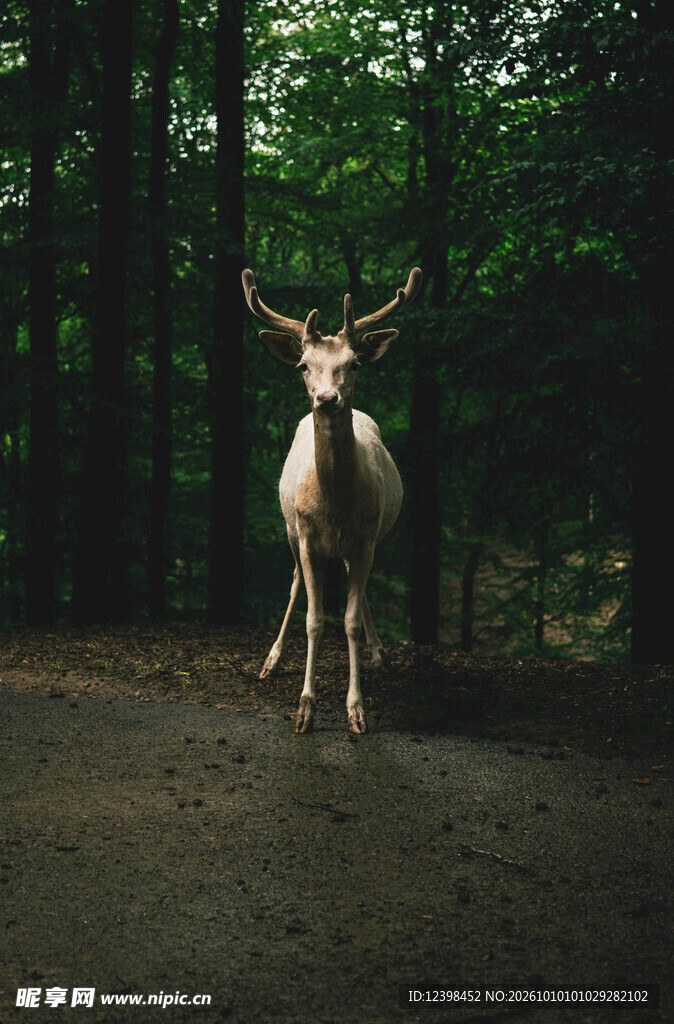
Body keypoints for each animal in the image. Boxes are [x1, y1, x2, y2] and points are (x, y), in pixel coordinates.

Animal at [242, 266, 422, 734]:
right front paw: (305, 708)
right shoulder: (307, 537)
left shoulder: (365, 538)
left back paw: (379, 654)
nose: (327, 399)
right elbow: (314, 619)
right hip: (289, 529)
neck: (335, 507)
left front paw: (356, 709)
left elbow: (350, 620)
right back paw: (270, 660)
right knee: (293, 584)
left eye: (354, 363)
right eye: (304, 365)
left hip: (367, 541)